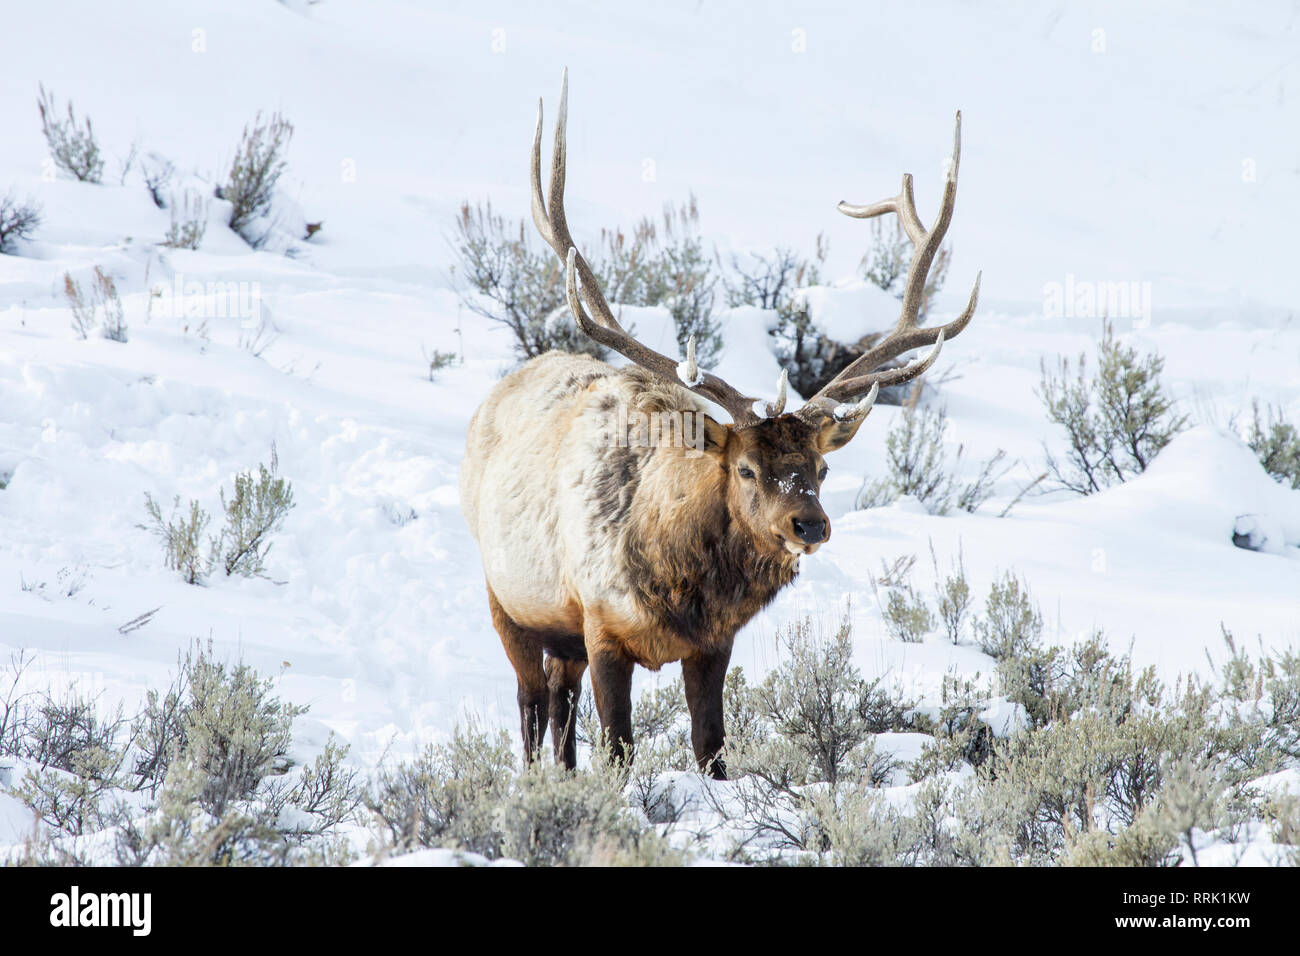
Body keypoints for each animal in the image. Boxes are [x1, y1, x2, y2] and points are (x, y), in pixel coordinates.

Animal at [462, 72, 977, 780]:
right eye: (746, 468)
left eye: (821, 468)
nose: (810, 525)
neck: (676, 584)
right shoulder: (600, 623)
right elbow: (618, 751)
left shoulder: (713, 644)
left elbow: (712, 749)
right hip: (506, 596)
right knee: (532, 706)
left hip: (558, 636)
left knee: (559, 709)